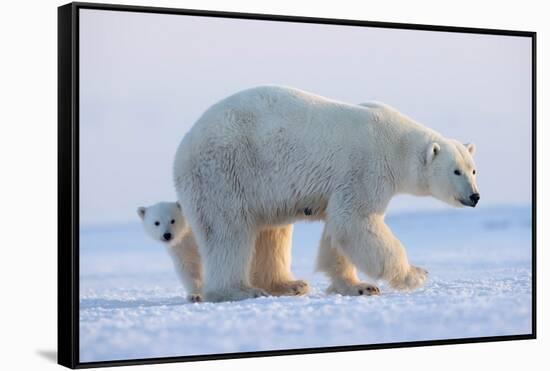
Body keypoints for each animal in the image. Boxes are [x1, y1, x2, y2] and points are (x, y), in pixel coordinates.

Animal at [138, 201, 310, 302]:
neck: (187, 235)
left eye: (172, 220)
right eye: (156, 222)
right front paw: (194, 295)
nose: (167, 235)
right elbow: (188, 269)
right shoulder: (180, 248)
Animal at [175, 86, 480, 302]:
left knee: (272, 232)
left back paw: (289, 284)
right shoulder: (366, 168)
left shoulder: (344, 183)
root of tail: (183, 146)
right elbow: (355, 221)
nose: (475, 196)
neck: (395, 144)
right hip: (225, 171)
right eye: (456, 171)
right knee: (228, 231)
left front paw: (359, 286)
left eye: (473, 169)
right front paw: (416, 275)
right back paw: (239, 290)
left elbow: (337, 231)